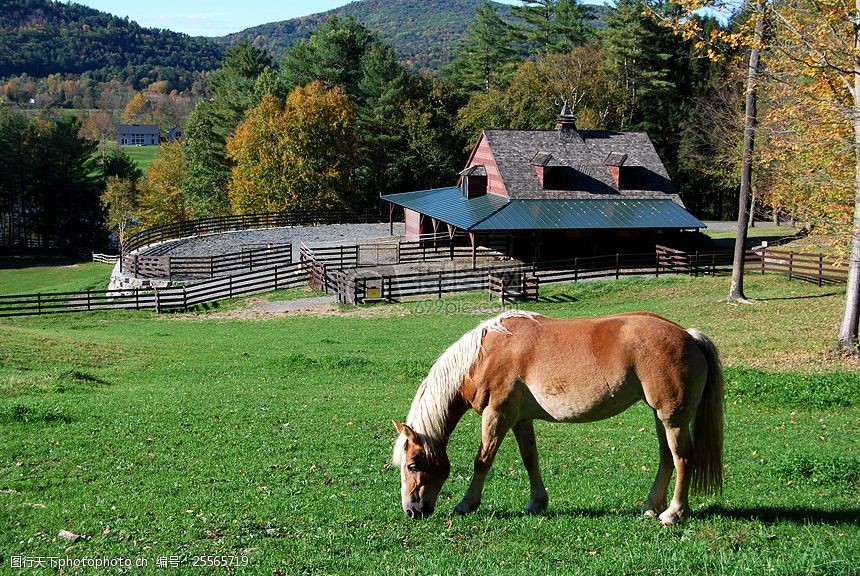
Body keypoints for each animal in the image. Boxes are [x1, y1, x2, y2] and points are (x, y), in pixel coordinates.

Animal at [394, 312, 724, 524]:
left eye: (413, 465)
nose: (411, 511)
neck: (485, 355)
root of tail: (689, 336)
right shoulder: (519, 419)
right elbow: (530, 459)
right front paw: (536, 503)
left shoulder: (497, 414)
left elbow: (483, 461)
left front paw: (466, 504)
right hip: (661, 417)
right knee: (667, 458)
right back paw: (651, 507)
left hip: (673, 419)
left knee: (683, 459)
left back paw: (674, 513)